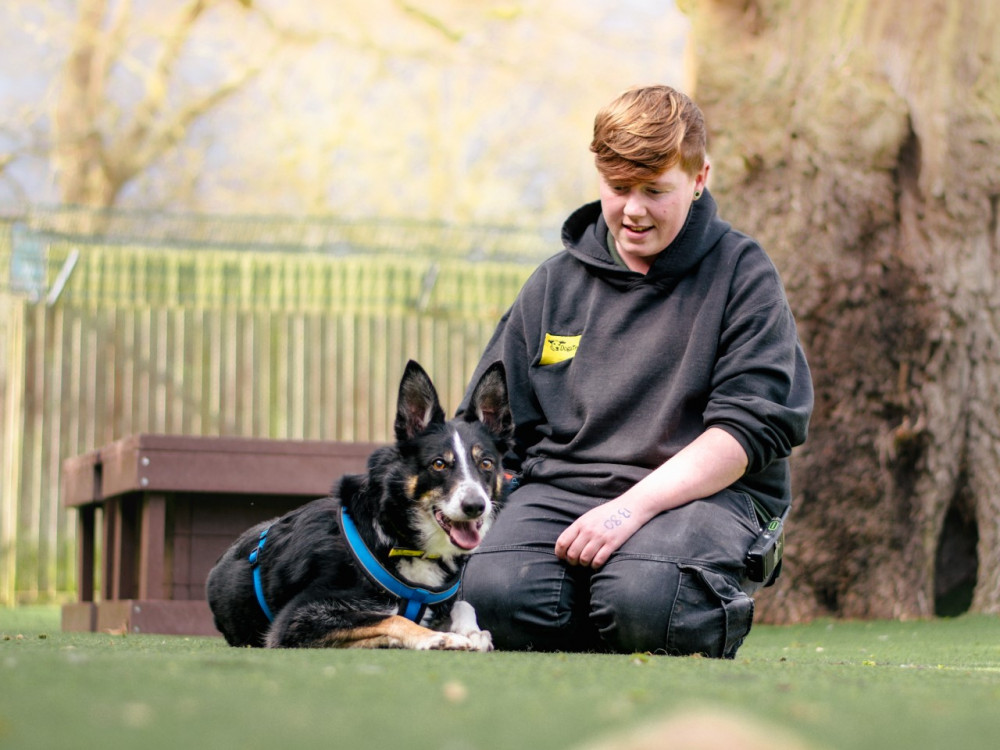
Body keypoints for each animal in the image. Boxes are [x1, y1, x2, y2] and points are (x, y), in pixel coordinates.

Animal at [206, 360, 512, 652]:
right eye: (439, 464)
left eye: (486, 463)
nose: (475, 506)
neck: (397, 535)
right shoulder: (297, 617)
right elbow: (393, 617)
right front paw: (438, 637)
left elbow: (463, 604)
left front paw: (474, 632)